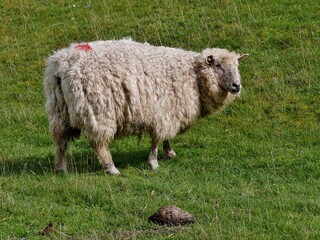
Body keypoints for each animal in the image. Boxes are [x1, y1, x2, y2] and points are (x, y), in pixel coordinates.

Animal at [43, 39, 248, 174]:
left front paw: (169, 152)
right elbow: (156, 139)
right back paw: (111, 168)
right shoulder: (162, 111)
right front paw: (154, 162)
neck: (193, 74)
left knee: (60, 141)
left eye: (237, 65)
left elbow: (165, 137)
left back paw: (60, 168)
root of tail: (62, 66)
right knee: (99, 144)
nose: (236, 85)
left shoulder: (168, 112)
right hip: (98, 111)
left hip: (59, 110)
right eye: (218, 66)